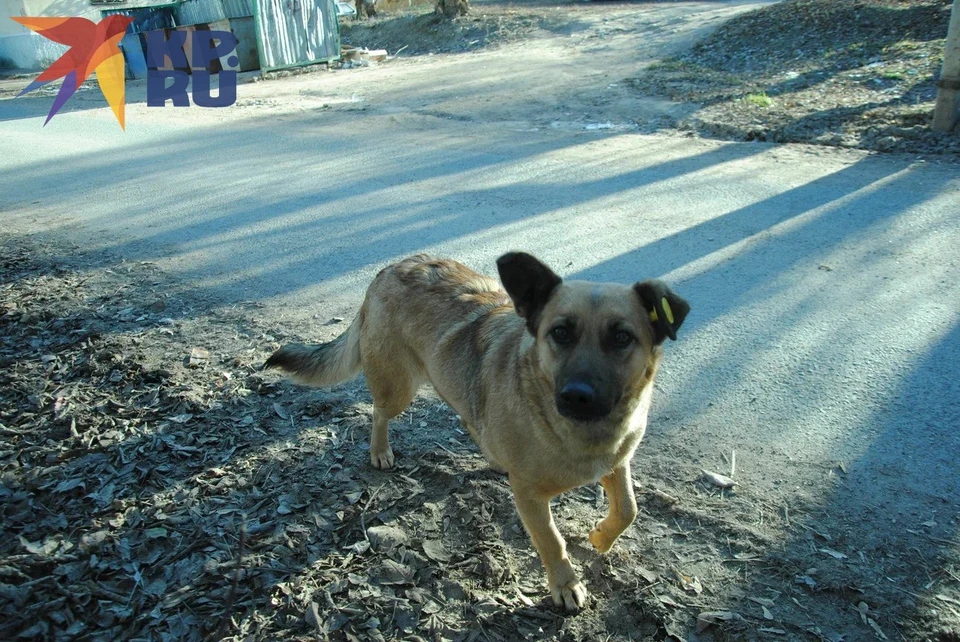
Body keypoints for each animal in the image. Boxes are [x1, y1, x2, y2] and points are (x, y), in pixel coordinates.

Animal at [268, 251, 688, 608]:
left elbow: (629, 509)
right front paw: (565, 584)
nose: (577, 396)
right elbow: (551, 541)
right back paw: (380, 450)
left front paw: (601, 536)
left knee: (469, 417)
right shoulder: (531, 497)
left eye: (622, 337)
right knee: (379, 413)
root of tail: (392, 267)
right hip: (397, 387)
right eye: (560, 333)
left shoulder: (617, 463)